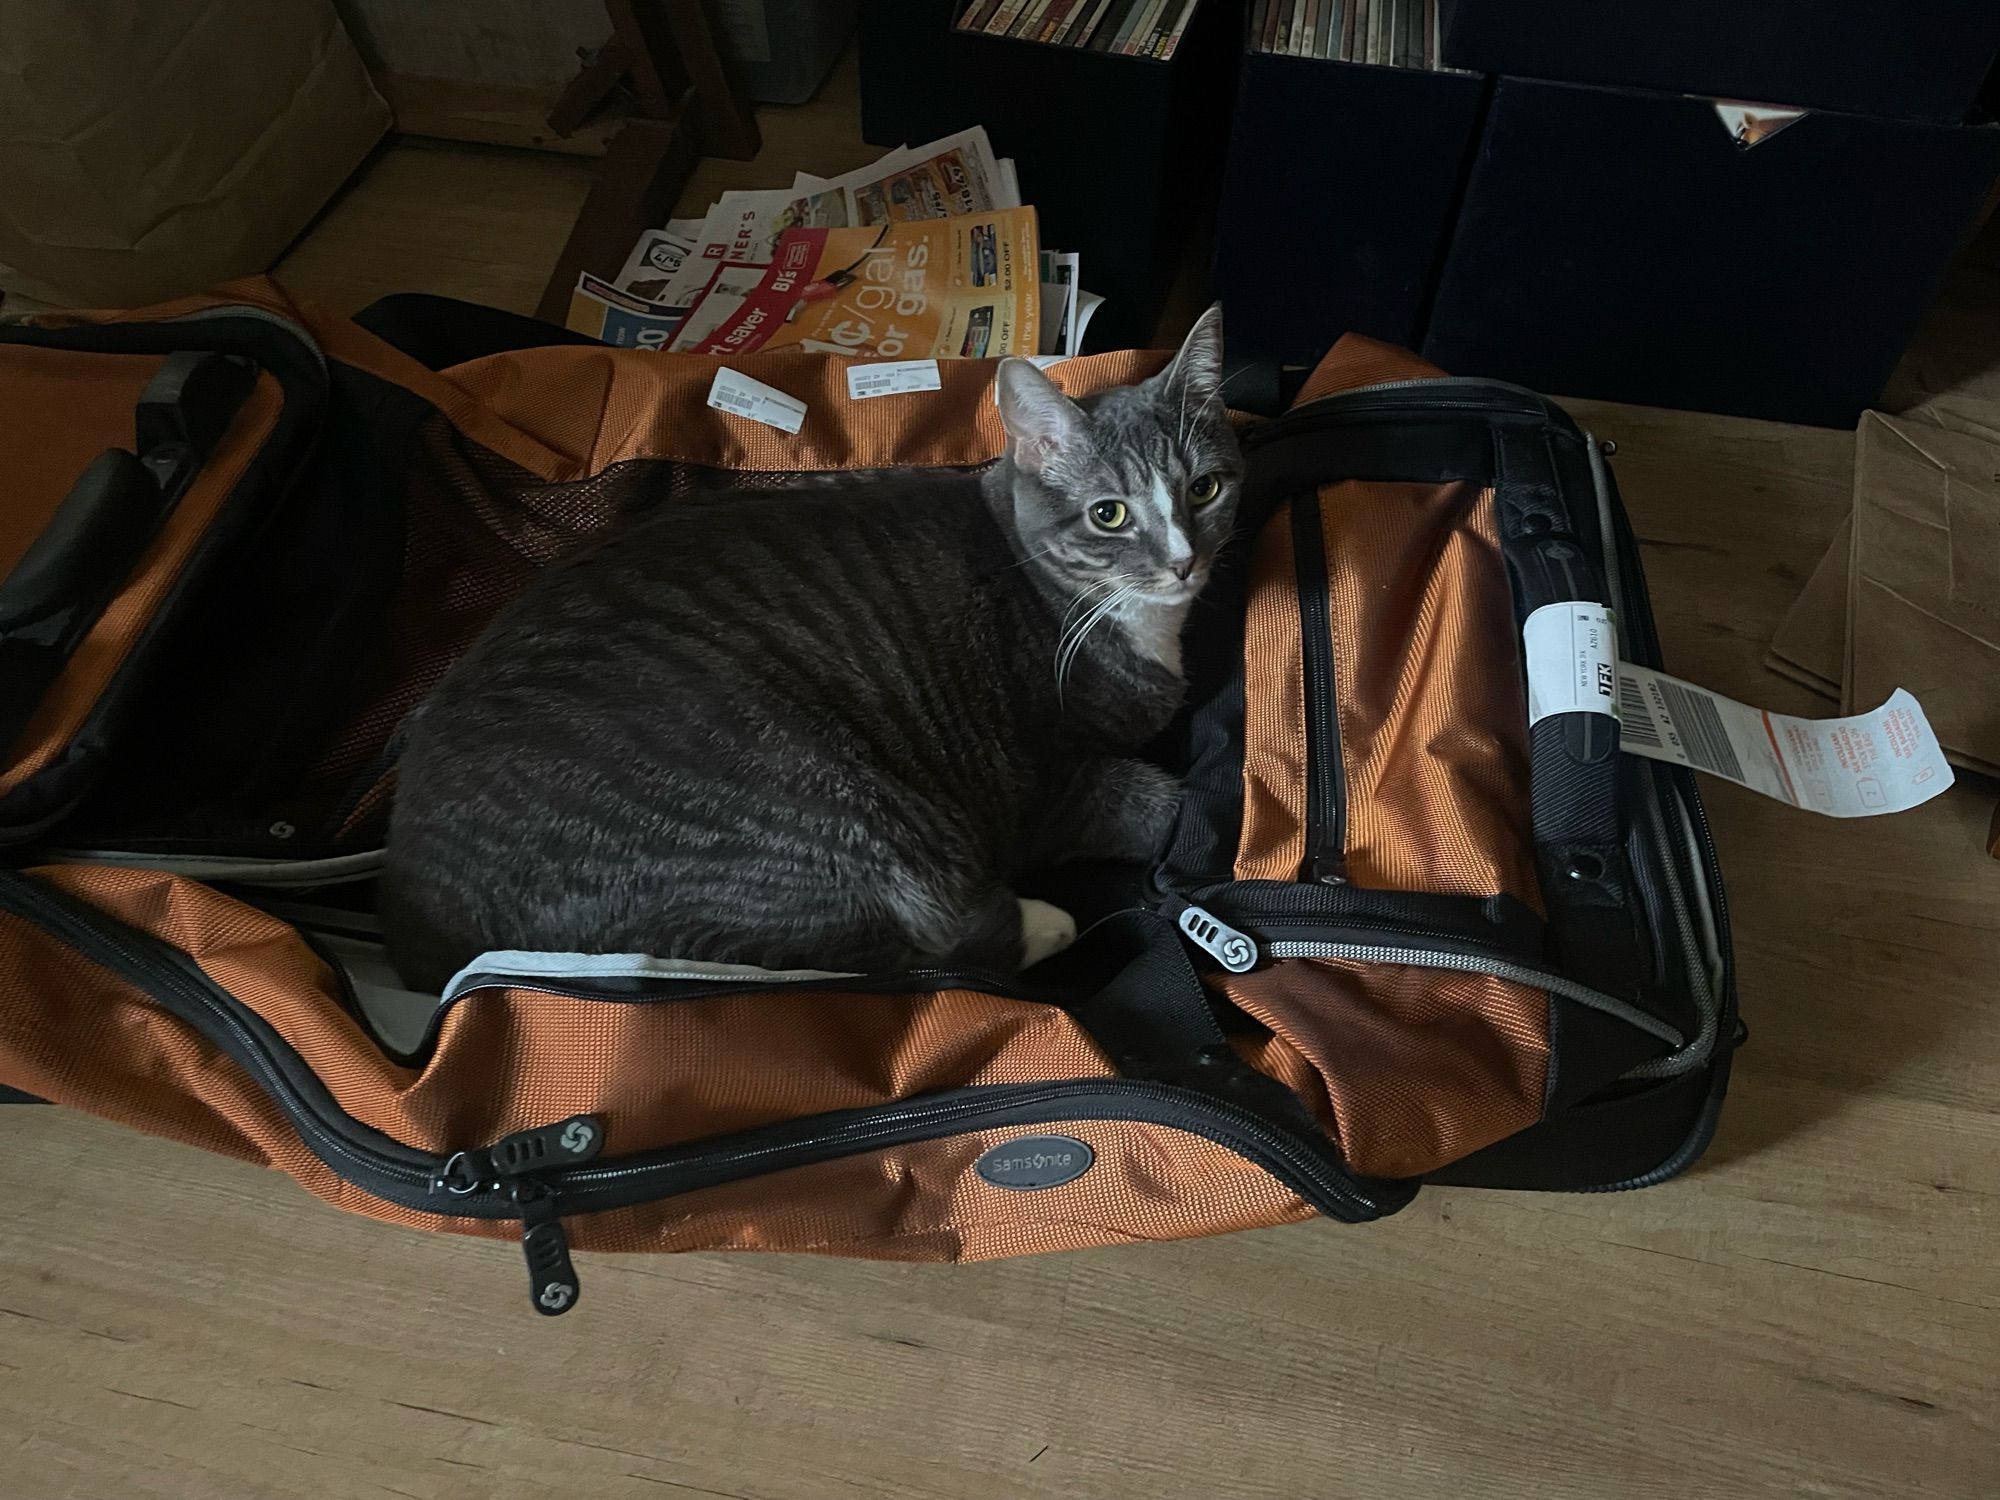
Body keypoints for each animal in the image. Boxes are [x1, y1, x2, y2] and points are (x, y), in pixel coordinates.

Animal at [378, 306, 1232, 992]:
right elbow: (1156, 804)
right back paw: (1042, 922)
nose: (1186, 561)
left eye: (1206, 490)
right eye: (1110, 514)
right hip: (827, 806)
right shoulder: (1046, 786)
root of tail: (416, 938)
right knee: (896, 944)